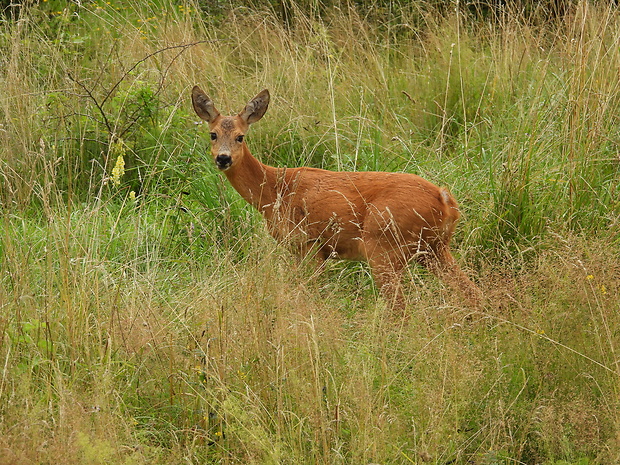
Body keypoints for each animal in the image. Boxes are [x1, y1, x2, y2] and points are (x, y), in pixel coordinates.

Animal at [191, 85, 482, 310]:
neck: (275, 191)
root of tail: (445, 200)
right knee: (473, 292)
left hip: (384, 245)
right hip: (435, 249)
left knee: (400, 308)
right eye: (213, 134)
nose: (223, 158)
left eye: (240, 137)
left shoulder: (309, 244)